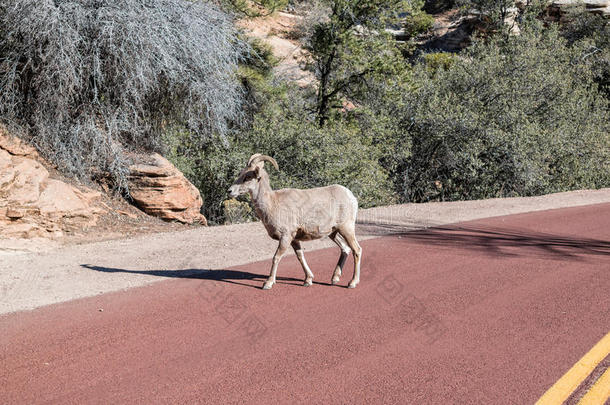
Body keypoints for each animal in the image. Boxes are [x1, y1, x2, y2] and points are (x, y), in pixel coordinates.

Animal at [228, 153, 360, 288]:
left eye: (248, 177)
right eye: (241, 174)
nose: (230, 191)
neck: (273, 204)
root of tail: (351, 196)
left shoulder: (285, 237)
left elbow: (276, 258)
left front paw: (268, 283)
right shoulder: (294, 239)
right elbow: (300, 256)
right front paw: (308, 280)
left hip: (346, 229)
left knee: (356, 250)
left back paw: (352, 282)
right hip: (333, 233)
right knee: (345, 249)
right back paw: (334, 279)